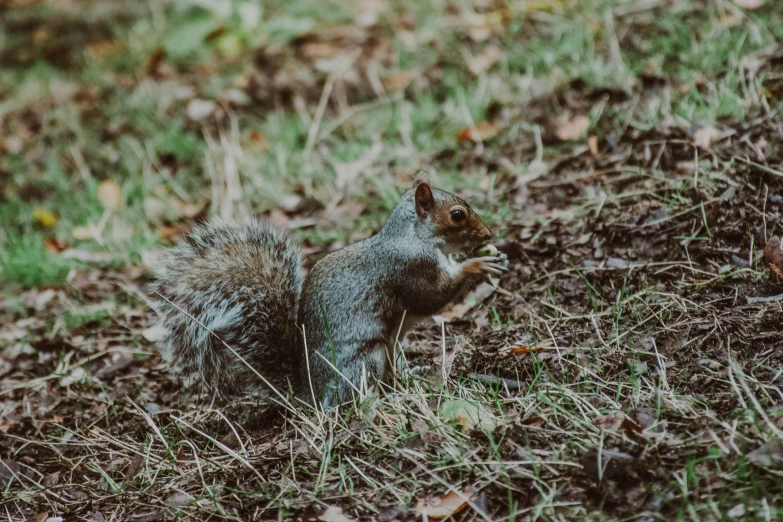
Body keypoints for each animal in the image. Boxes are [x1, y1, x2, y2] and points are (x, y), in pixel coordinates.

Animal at [152, 172, 508, 406]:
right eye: (457, 215)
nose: (488, 235)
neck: (414, 236)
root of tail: (309, 395)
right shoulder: (408, 269)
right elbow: (432, 297)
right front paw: (478, 265)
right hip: (367, 359)